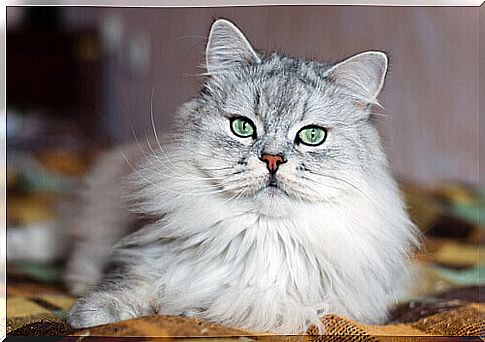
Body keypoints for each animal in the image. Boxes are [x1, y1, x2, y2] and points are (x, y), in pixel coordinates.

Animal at [66, 18, 418, 334]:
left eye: (312, 136)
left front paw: (190, 312)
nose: (273, 159)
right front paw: (88, 316)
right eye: (243, 127)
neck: (264, 237)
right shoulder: (147, 259)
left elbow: (235, 307)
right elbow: (130, 287)